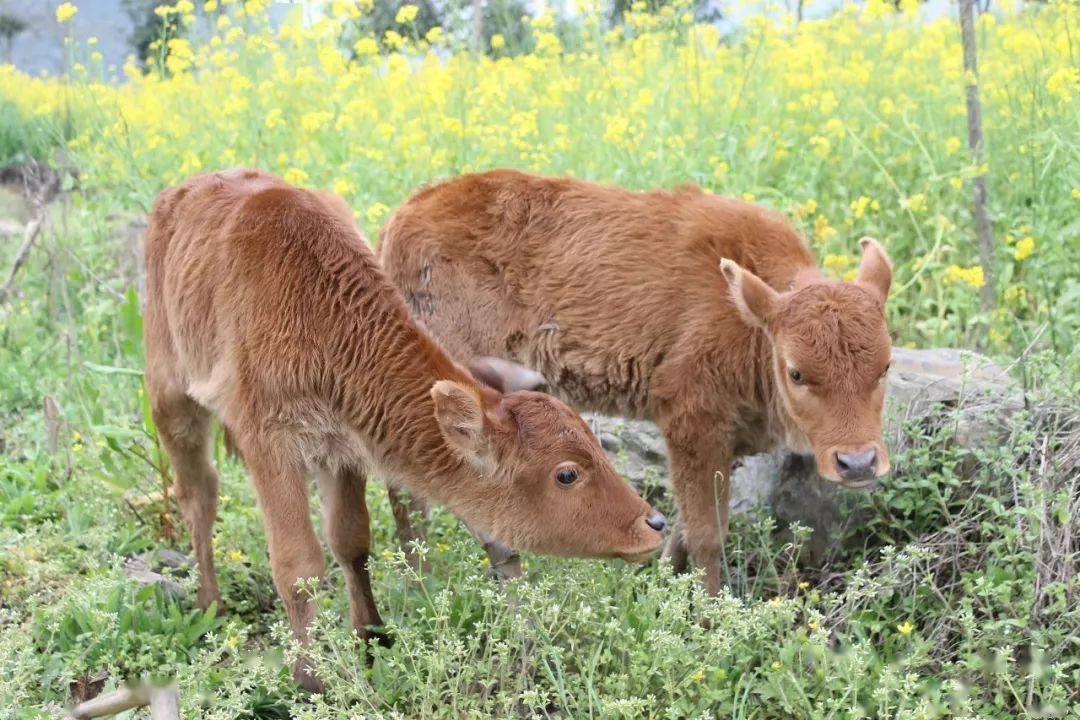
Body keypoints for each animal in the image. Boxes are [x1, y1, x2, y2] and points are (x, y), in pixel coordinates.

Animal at [141, 170, 665, 690]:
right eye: (566, 474)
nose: (655, 524)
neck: (321, 314)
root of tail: (182, 192)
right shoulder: (270, 445)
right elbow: (298, 564)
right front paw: (310, 679)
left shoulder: (342, 447)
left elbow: (350, 542)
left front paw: (371, 638)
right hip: (171, 398)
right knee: (197, 493)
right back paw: (209, 603)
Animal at [380, 169, 894, 595]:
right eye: (796, 371)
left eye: (886, 366)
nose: (858, 464)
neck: (746, 318)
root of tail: (403, 215)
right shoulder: (692, 423)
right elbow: (707, 535)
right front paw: (708, 613)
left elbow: (683, 525)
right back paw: (428, 581)